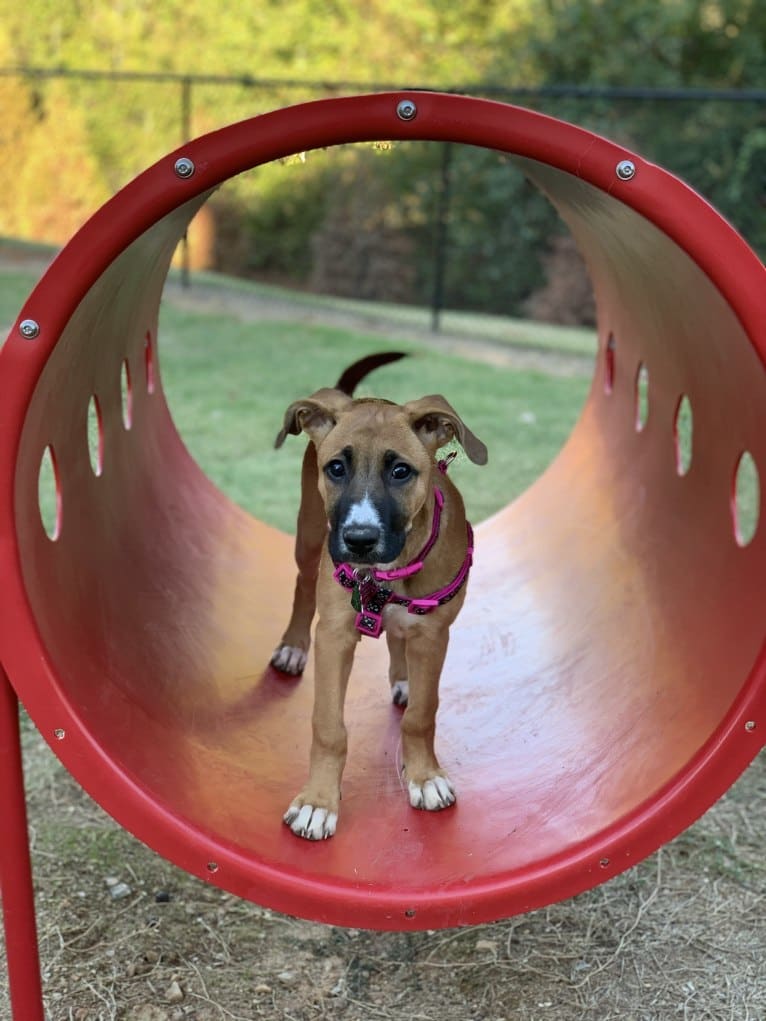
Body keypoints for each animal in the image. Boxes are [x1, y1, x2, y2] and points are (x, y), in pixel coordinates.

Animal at [273, 359, 486, 837]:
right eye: (336, 468)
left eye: (401, 471)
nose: (359, 539)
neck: (386, 574)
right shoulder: (335, 635)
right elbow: (328, 727)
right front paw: (317, 802)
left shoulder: (432, 634)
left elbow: (422, 715)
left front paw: (425, 777)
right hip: (309, 536)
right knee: (301, 587)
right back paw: (292, 648)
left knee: (396, 637)